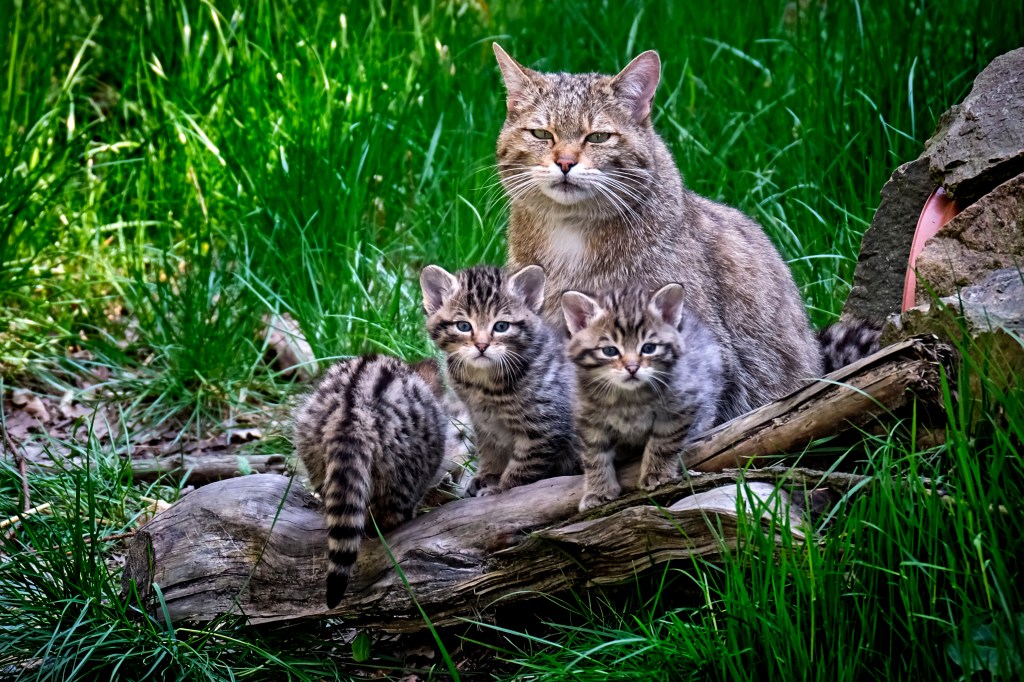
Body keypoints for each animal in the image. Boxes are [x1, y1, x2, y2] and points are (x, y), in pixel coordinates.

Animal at [419, 261, 581, 493]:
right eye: (464, 326)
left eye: (501, 326)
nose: (481, 345)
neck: (484, 383)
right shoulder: (481, 420)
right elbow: (489, 449)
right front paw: (488, 475)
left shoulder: (546, 425)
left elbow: (525, 465)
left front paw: (502, 488)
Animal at [565, 280, 724, 509]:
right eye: (610, 351)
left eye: (648, 348)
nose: (632, 368)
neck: (628, 399)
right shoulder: (587, 418)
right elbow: (594, 456)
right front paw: (598, 490)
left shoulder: (681, 404)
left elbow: (664, 442)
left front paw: (657, 474)